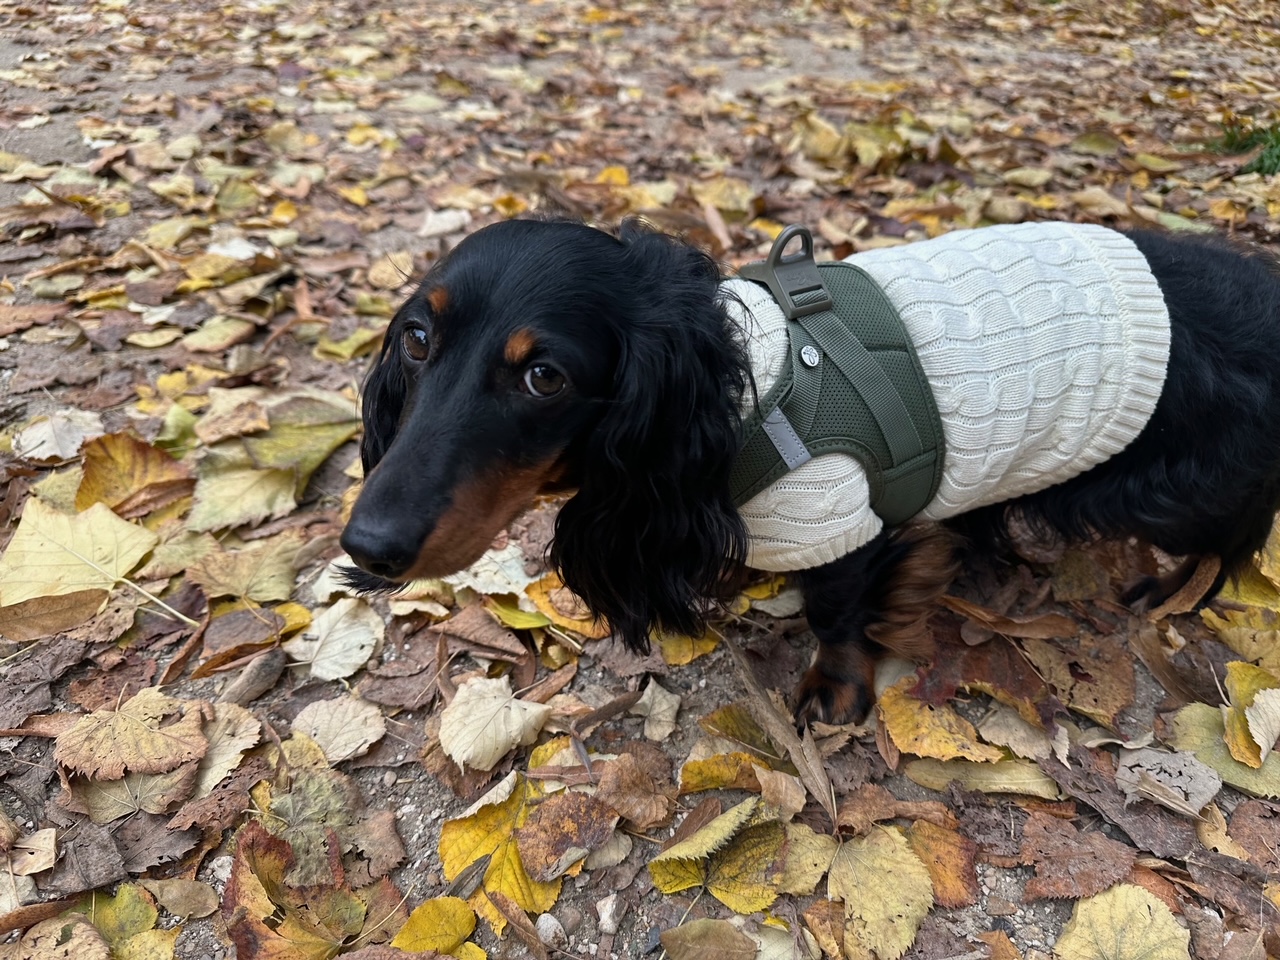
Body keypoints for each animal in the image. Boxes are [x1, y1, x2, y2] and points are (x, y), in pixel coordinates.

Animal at [343, 217, 1280, 727]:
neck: (742, 394)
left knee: (1234, 527)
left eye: (545, 377)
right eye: (417, 338)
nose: (368, 546)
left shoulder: (839, 512)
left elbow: (837, 610)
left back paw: (1171, 593)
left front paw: (836, 686)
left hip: (1170, 488)